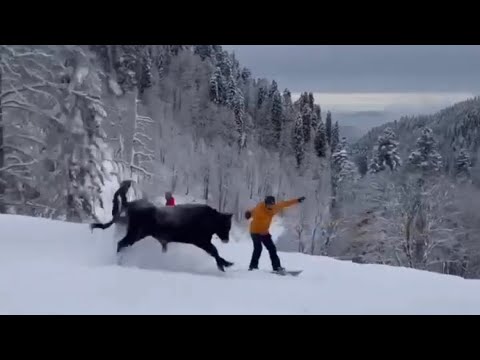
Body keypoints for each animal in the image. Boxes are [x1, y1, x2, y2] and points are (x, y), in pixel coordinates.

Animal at [89, 190, 234, 272]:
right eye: (226, 225)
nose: (226, 240)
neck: (210, 218)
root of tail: (131, 204)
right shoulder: (202, 242)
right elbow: (215, 252)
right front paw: (225, 265)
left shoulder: (204, 242)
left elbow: (215, 252)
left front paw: (225, 264)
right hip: (135, 235)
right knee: (120, 244)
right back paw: (119, 261)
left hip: (135, 235)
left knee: (121, 244)